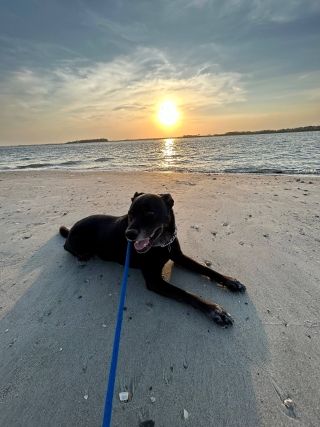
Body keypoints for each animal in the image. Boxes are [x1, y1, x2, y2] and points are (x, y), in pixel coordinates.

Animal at [60, 192, 245, 326]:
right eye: (130, 214)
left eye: (149, 213)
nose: (129, 235)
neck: (162, 244)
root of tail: (70, 230)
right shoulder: (154, 280)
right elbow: (185, 293)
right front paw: (214, 310)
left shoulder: (179, 257)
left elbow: (207, 269)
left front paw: (231, 281)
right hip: (77, 242)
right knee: (66, 247)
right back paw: (82, 255)